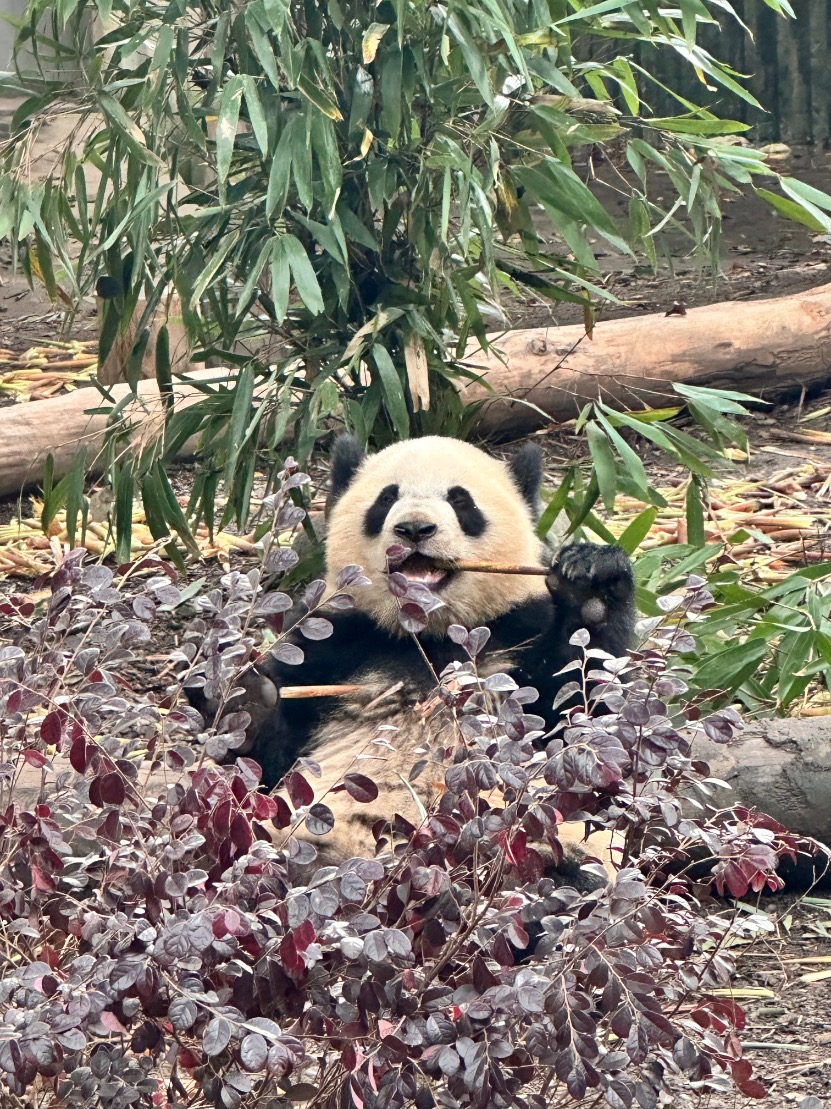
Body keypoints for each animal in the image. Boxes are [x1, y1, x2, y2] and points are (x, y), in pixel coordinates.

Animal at [204, 435, 635, 877]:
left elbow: (586, 726)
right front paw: (244, 703)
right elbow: (273, 764)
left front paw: (592, 586)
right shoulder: (330, 646)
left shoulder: (518, 633)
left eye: (461, 501)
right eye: (386, 498)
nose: (413, 528)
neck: (428, 632)